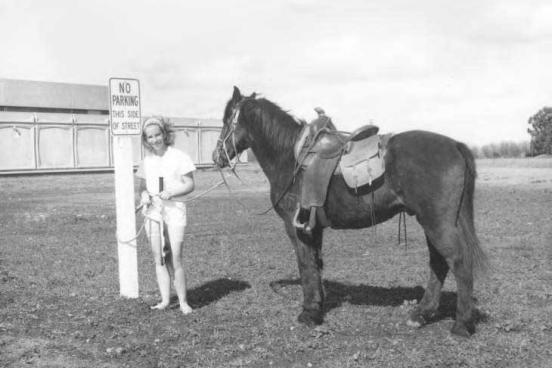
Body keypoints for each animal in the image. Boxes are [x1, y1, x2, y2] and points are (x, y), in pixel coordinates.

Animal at [211, 85, 488, 336]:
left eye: (227, 120)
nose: (216, 157)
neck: (290, 158)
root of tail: (454, 145)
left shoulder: (296, 227)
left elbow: (305, 264)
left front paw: (308, 313)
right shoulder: (313, 228)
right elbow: (315, 264)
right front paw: (318, 305)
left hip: (437, 222)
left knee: (458, 262)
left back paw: (461, 324)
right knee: (438, 264)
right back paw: (421, 314)